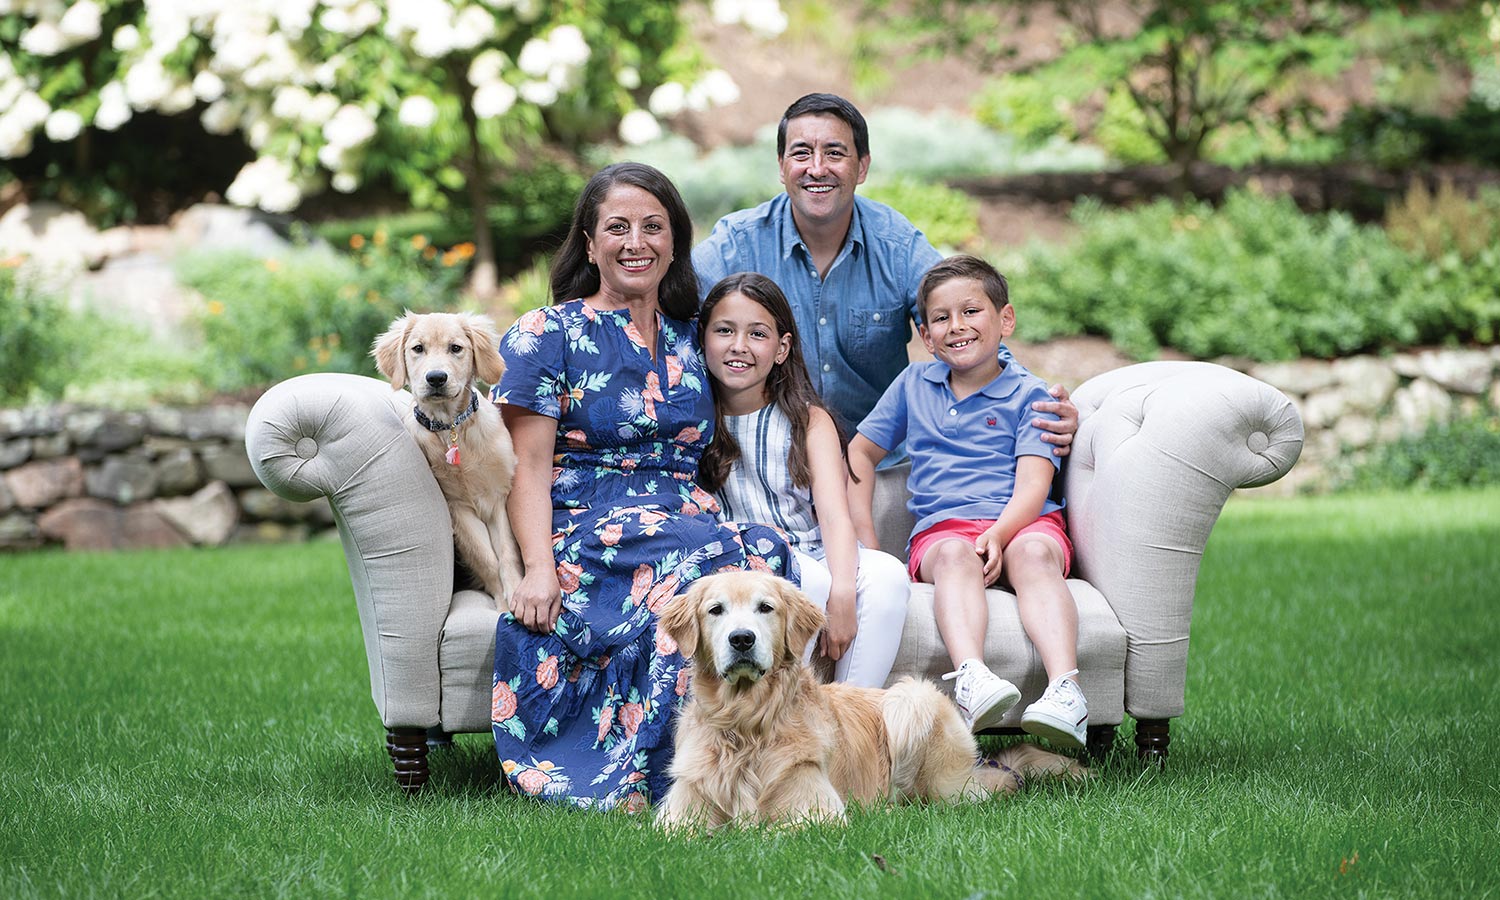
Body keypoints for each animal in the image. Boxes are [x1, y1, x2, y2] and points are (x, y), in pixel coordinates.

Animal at [372, 310, 525, 612]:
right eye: (418, 348)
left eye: (456, 348)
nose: (436, 378)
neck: (452, 430)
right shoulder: (459, 508)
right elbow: (487, 559)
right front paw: (503, 604)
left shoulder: (498, 497)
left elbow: (506, 553)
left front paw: (515, 593)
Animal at [657, 570, 1080, 828]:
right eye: (716, 610)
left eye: (766, 608)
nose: (742, 639)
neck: (746, 726)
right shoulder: (676, 818)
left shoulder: (819, 814)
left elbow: (769, 832)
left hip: (912, 705)